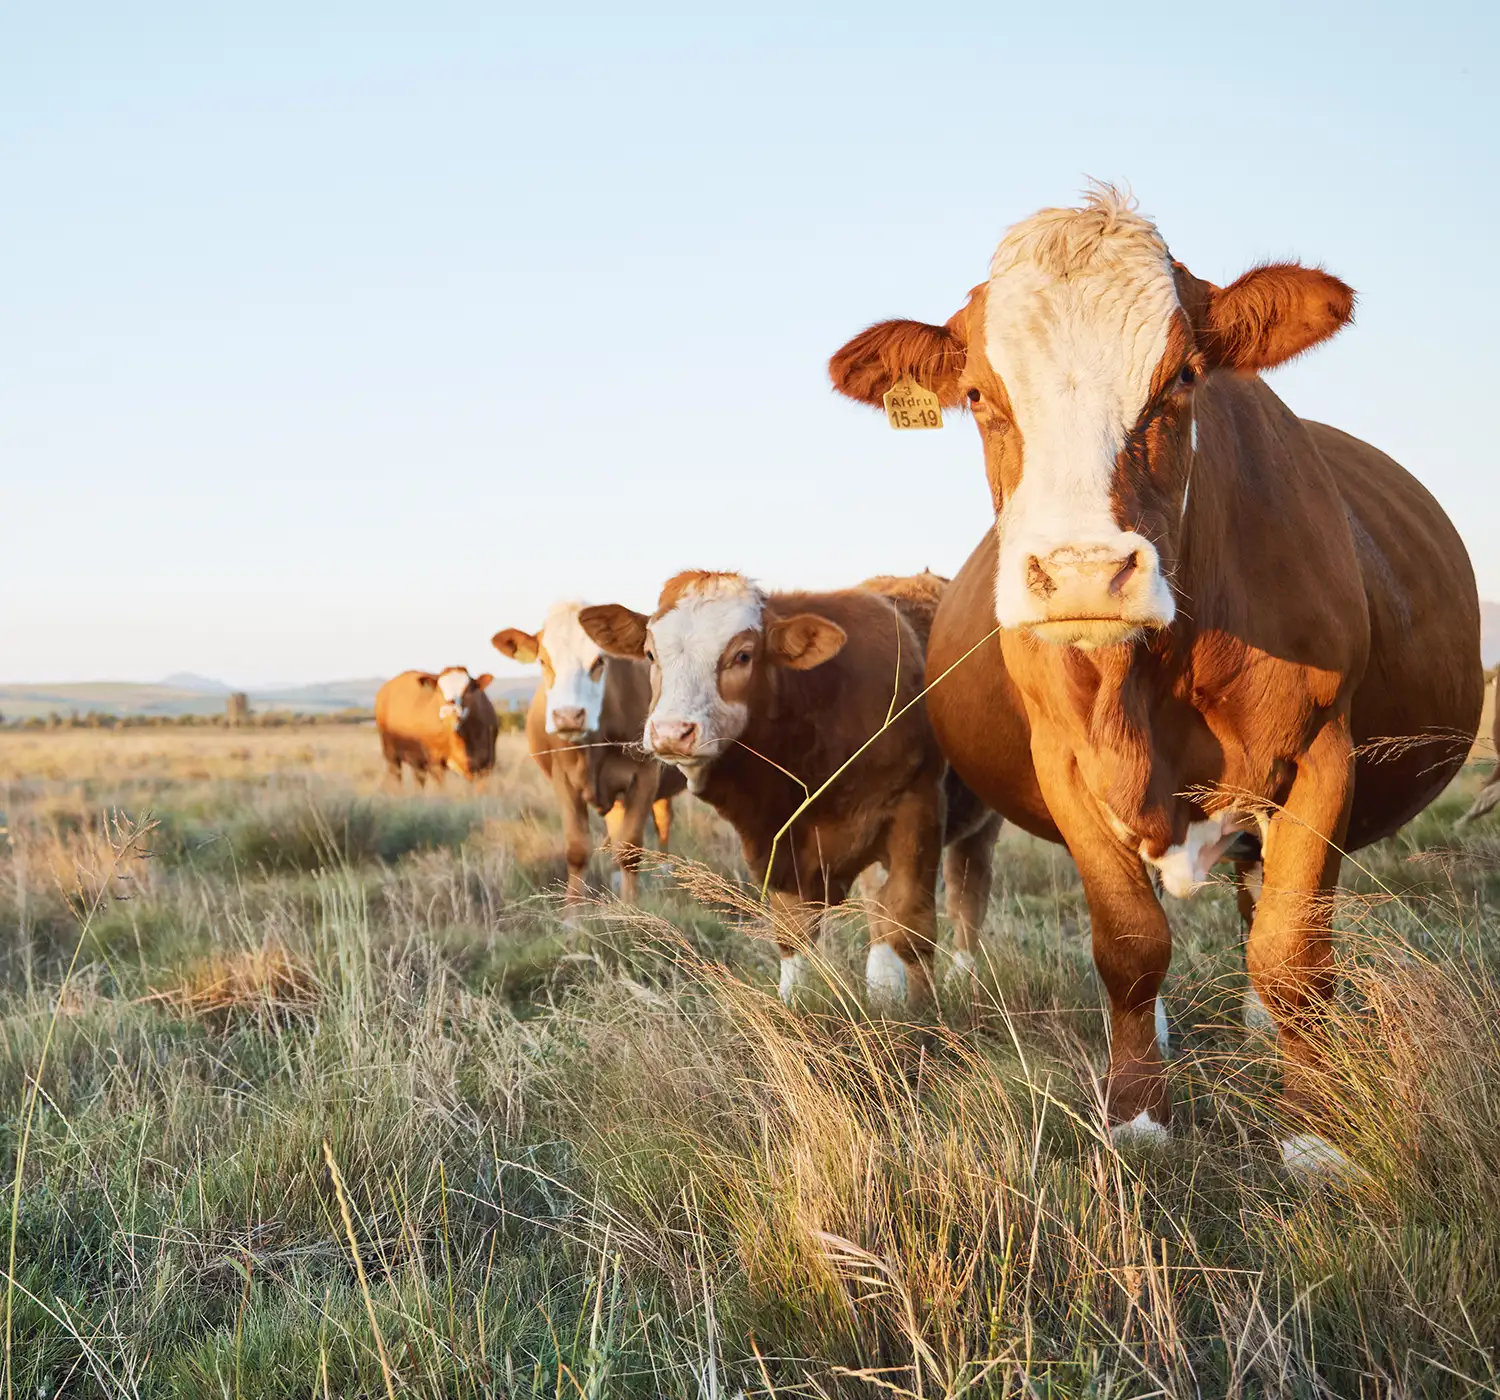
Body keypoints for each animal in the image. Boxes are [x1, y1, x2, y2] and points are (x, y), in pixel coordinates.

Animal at [492, 600, 685, 905]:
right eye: (543, 661)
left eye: (599, 662)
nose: (568, 716)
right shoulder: (563, 781)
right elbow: (578, 850)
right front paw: (573, 912)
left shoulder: (645, 775)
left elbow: (630, 850)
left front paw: (631, 907)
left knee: (662, 821)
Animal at [578, 571, 1002, 1007]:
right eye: (650, 654)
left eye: (743, 655)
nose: (671, 732)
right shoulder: (777, 844)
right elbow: (794, 932)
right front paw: (794, 1003)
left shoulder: (916, 813)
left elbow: (908, 925)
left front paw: (916, 1012)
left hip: (981, 823)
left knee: (967, 892)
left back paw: (961, 976)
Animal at [828, 187, 1483, 1168]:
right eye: (979, 394)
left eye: (1181, 379)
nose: (1084, 572)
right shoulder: (1067, 770)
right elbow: (1130, 947)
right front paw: (1139, 1114)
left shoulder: (1323, 754)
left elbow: (1294, 951)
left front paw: (1315, 1134)